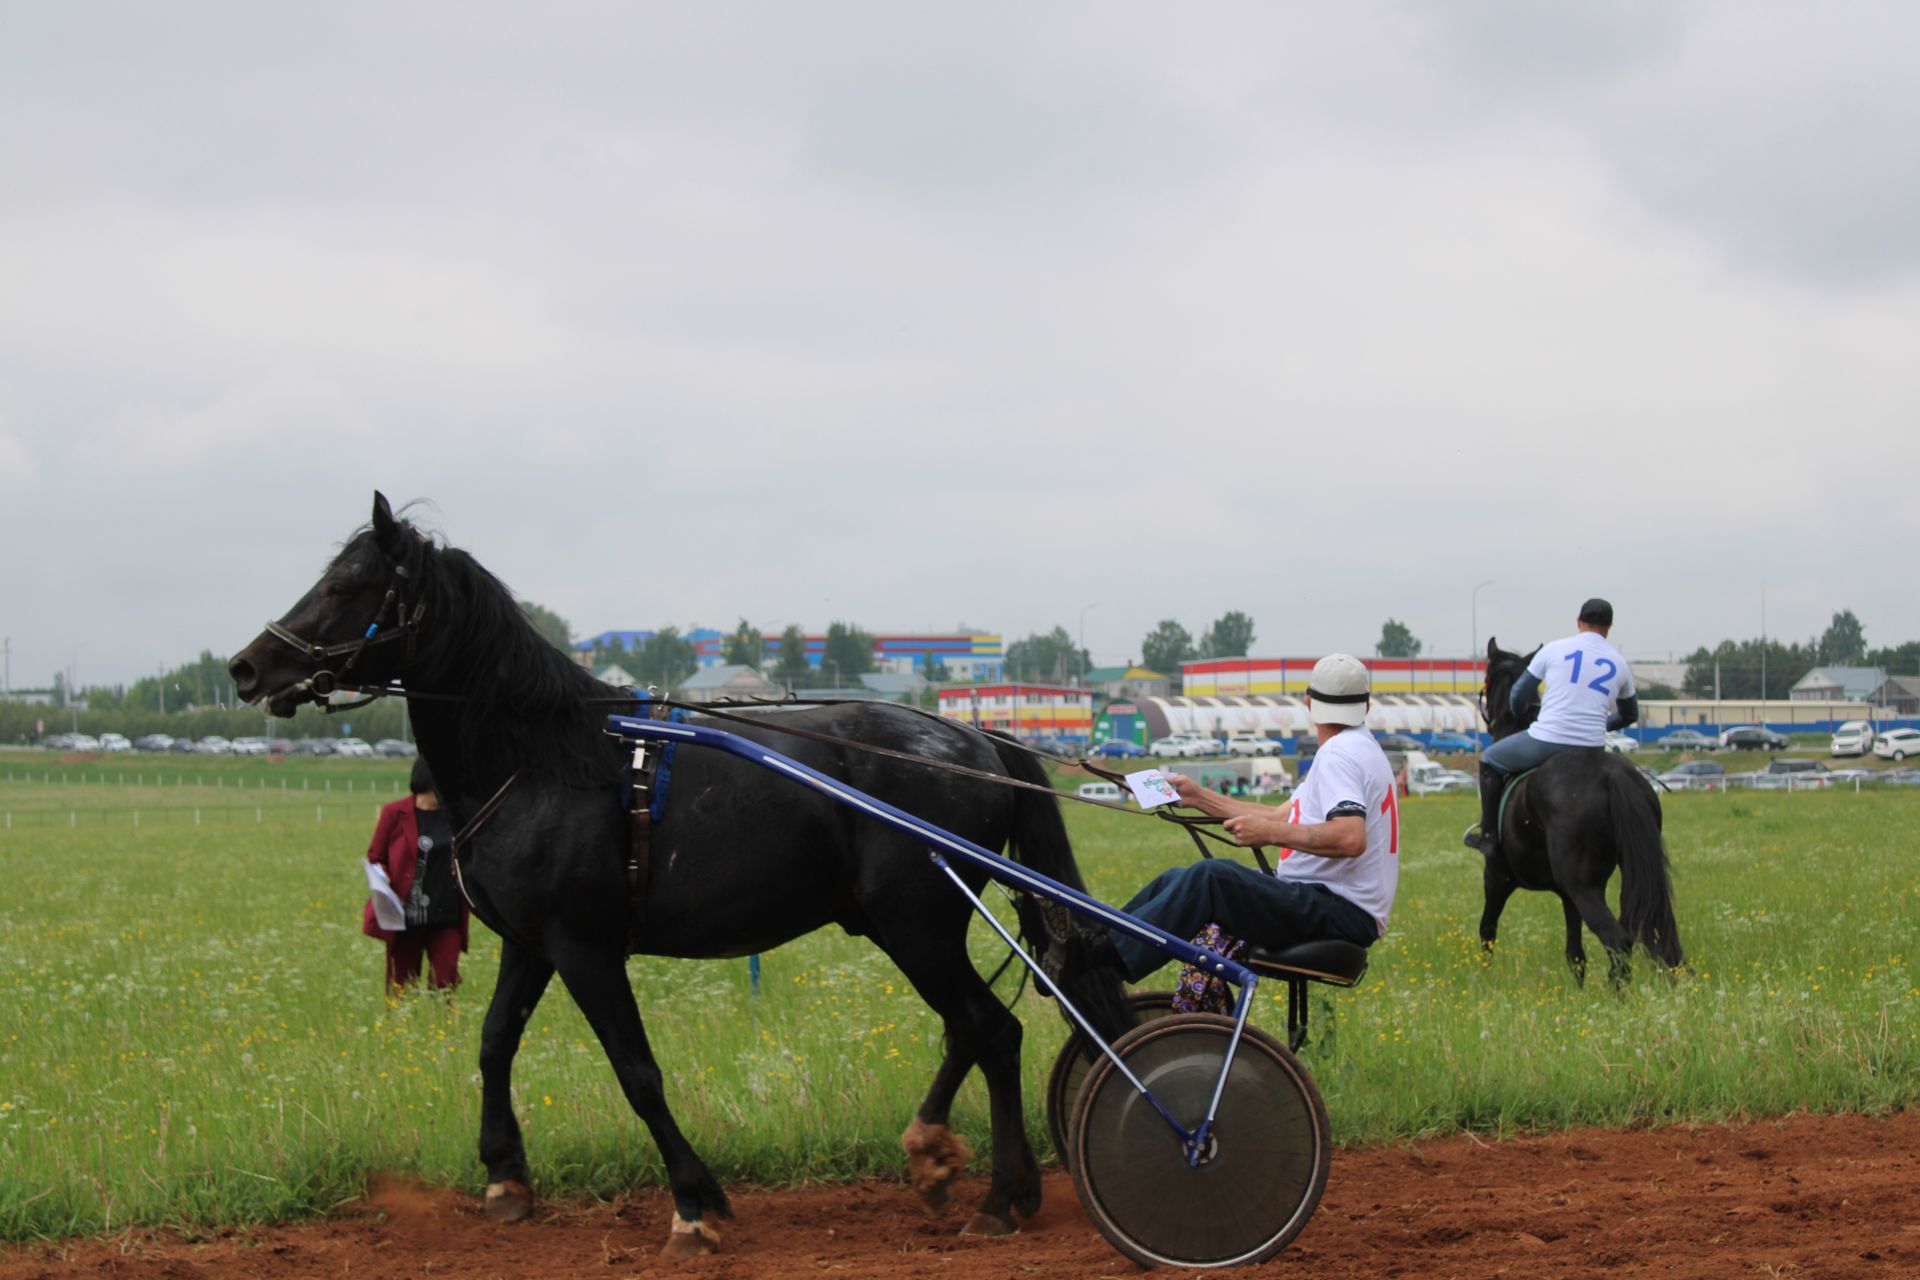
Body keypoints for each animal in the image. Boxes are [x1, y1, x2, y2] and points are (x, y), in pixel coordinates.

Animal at [224, 495, 1121, 1258]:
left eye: (346, 585)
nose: (245, 668)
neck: (541, 761)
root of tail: (977, 741)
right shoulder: (531, 943)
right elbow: (493, 1041)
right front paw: (505, 1177)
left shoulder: (584, 949)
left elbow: (637, 1073)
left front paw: (695, 1205)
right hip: (901, 925)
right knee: (972, 1030)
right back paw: (941, 1157)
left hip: (916, 924)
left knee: (991, 1031)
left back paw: (1001, 1198)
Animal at [1466, 637, 1681, 982]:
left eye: (1485, 680)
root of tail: (1613, 774)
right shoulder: (1566, 895)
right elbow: (1575, 955)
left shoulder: (1497, 878)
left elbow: (1487, 931)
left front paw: (1485, 978)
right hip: (1624, 875)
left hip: (1583, 886)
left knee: (1618, 940)